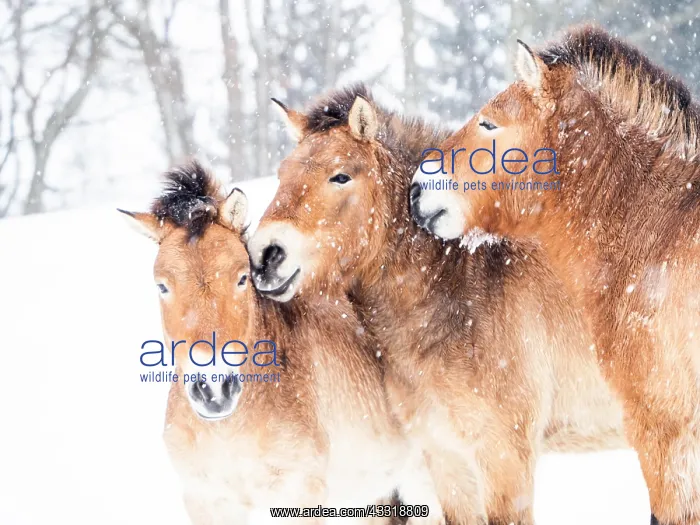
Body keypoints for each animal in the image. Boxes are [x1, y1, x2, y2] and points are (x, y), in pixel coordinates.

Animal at [121, 161, 444, 525]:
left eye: (241, 278)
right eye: (162, 286)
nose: (214, 388)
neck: (230, 430)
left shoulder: (299, 496)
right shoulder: (208, 502)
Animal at [247, 85, 626, 525]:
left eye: (340, 175)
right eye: (281, 175)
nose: (265, 255)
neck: (462, 286)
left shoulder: (505, 458)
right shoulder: (446, 457)